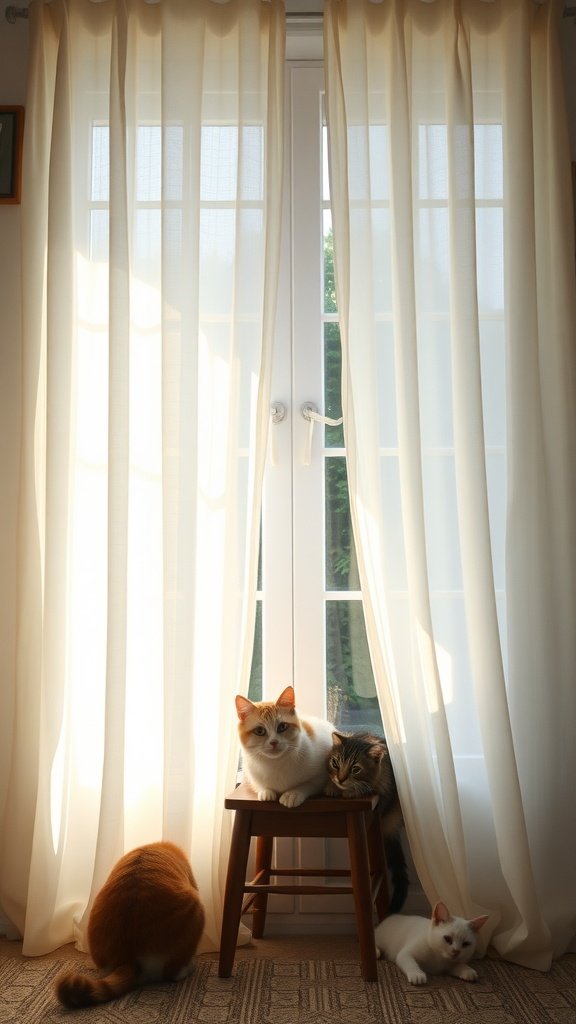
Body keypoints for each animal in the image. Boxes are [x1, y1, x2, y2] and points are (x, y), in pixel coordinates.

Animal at [323, 729, 407, 913]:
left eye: (355, 769)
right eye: (335, 763)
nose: (340, 779)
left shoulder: (384, 787)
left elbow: (366, 788)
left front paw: (351, 791)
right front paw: (331, 787)